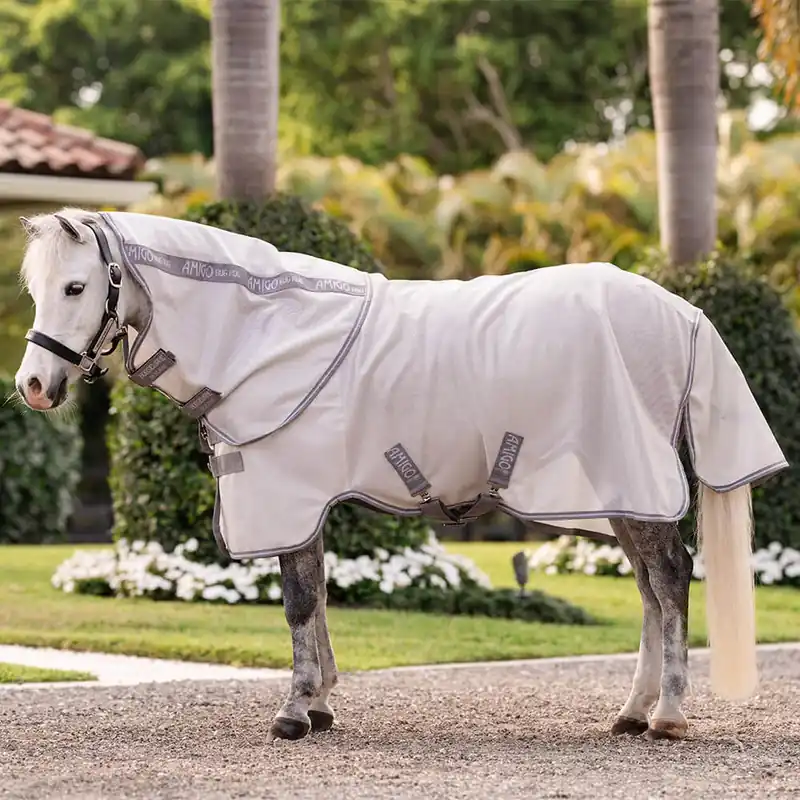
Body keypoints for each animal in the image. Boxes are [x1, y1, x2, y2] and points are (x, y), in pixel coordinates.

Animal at [14, 208, 787, 743]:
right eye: (33, 287)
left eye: (76, 286)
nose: (34, 386)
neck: (263, 332)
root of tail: (681, 311)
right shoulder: (306, 502)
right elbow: (318, 596)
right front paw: (321, 703)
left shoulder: (288, 494)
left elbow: (298, 602)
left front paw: (295, 712)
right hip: (621, 496)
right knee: (653, 591)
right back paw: (632, 712)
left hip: (633, 484)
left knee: (671, 581)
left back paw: (668, 715)